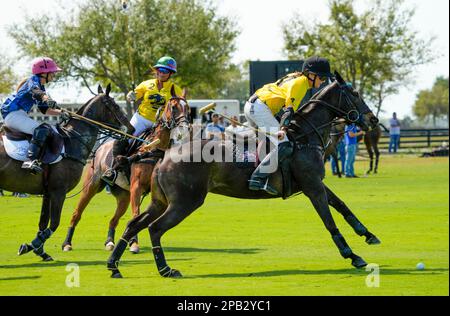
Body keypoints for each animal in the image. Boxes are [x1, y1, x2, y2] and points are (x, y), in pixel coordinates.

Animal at [0, 82, 134, 260]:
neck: (72, 141)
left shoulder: (48, 192)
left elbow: (43, 223)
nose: (131, 129)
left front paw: (40, 251)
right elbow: (54, 223)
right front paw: (32, 245)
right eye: (115, 106)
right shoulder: (58, 191)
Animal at [60, 92, 191, 253]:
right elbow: (136, 214)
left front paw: (131, 241)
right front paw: (134, 244)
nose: (184, 128)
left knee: (113, 220)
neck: (154, 148)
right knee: (76, 213)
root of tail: (100, 148)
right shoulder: (137, 186)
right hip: (91, 186)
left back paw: (110, 242)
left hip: (124, 196)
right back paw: (67, 243)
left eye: (188, 108)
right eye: (173, 107)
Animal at [107, 73, 382, 278]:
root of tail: (165, 153)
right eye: (355, 95)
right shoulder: (312, 186)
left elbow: (342, 205)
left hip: (160, 200)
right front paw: (352, 255)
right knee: (155, 228)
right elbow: (329, 221)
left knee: (134, 224)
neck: (305, 137)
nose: (373, 119)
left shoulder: (314, 183)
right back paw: (165, 269)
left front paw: (368, 235)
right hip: (185, 202)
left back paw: (114, 266)